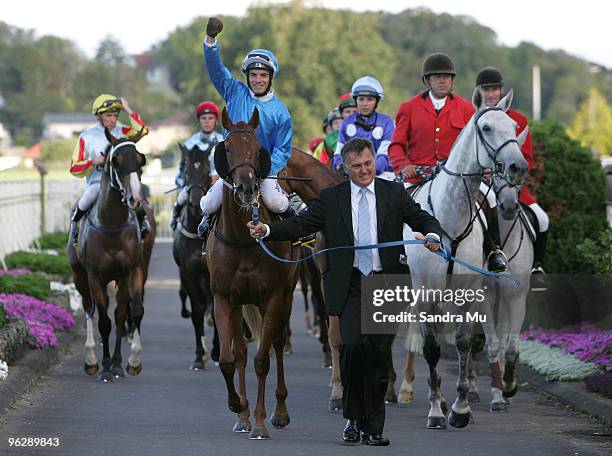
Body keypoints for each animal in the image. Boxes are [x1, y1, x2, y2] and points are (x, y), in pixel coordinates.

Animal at [67, 128, 155, 382]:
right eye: (116, 161)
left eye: (141, 160)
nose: (135, 198)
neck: (112, 225)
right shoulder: (95, 276)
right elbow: (104, 321)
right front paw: (105, 366)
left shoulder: (130, 272)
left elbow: (127, 313)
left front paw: (127, 362)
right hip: (79, 276)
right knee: (89, 308)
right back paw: (91, 360)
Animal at [207, 107, 300, 438]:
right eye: (227, 148)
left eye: (257, 148)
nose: (247, 189)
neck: (243, 238)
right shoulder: (223, 298)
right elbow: (229, 359)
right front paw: (239, 407)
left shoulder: (272, 297)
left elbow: (263, 359)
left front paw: (260, 421)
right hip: (241, 304)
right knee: (241, 354)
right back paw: (244, 415)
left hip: (286, 296)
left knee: (277, 343)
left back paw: (280, 411)